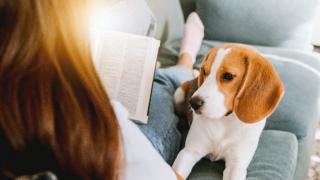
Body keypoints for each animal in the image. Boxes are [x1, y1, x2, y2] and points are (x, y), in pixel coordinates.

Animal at [172, 44, 284, 180]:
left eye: (228, 76)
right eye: (205, 71)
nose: (193, 103)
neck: (225, 120)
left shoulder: (237, 165)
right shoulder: (189, 152)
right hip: (178, 94)